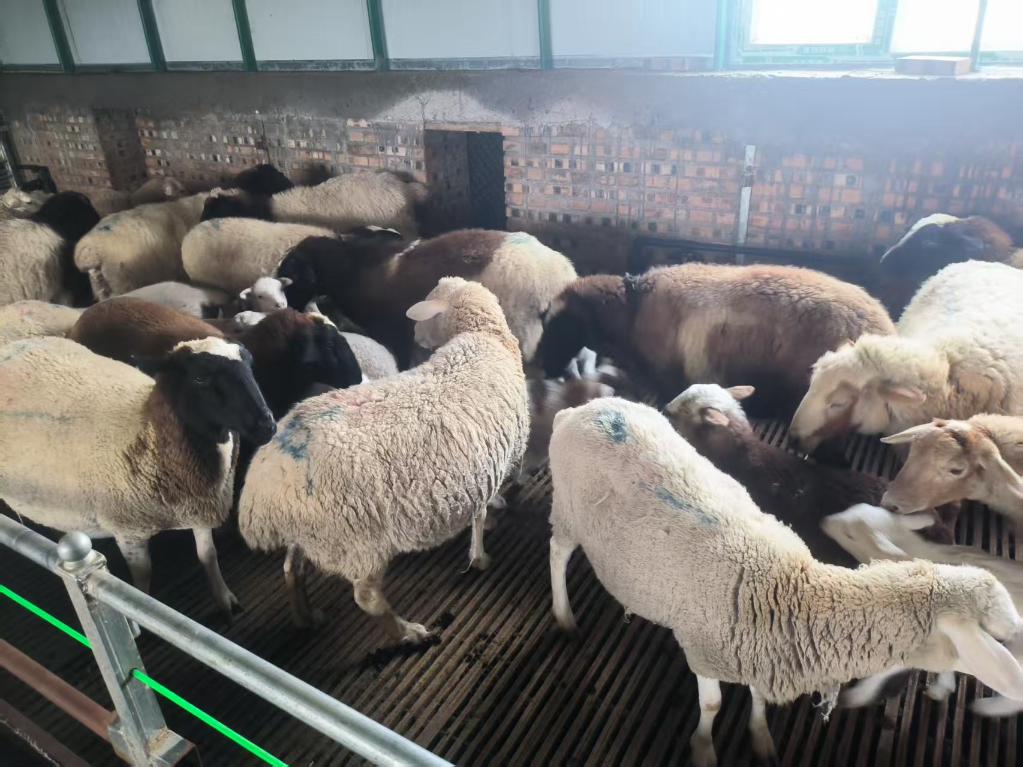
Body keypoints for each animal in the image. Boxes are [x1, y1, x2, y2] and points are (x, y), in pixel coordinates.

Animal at [0, 336, 276, 613]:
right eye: (200, 378)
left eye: (250, 365)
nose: (267, 426)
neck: (149, 432)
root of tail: (13, 346)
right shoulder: (128, 530)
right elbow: (142, 579)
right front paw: (140, 607)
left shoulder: (198, 509)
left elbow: (208, 555)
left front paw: (224, 597)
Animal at [238, 277, 529, 641]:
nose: (415, 336)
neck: (484, 336)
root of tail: (258, 495)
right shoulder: (500, 457)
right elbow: (482, 512)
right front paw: (481, 552)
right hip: (356, 542)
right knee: (366, 598)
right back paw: (409, 632)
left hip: (312, 535)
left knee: (292, 568)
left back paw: (305, 616)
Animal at [277, 228, 578, 367]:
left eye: (291, 274)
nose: (285, 309)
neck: (352, 270)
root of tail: (562, 275)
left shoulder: (393, 332)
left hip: (522, 332)